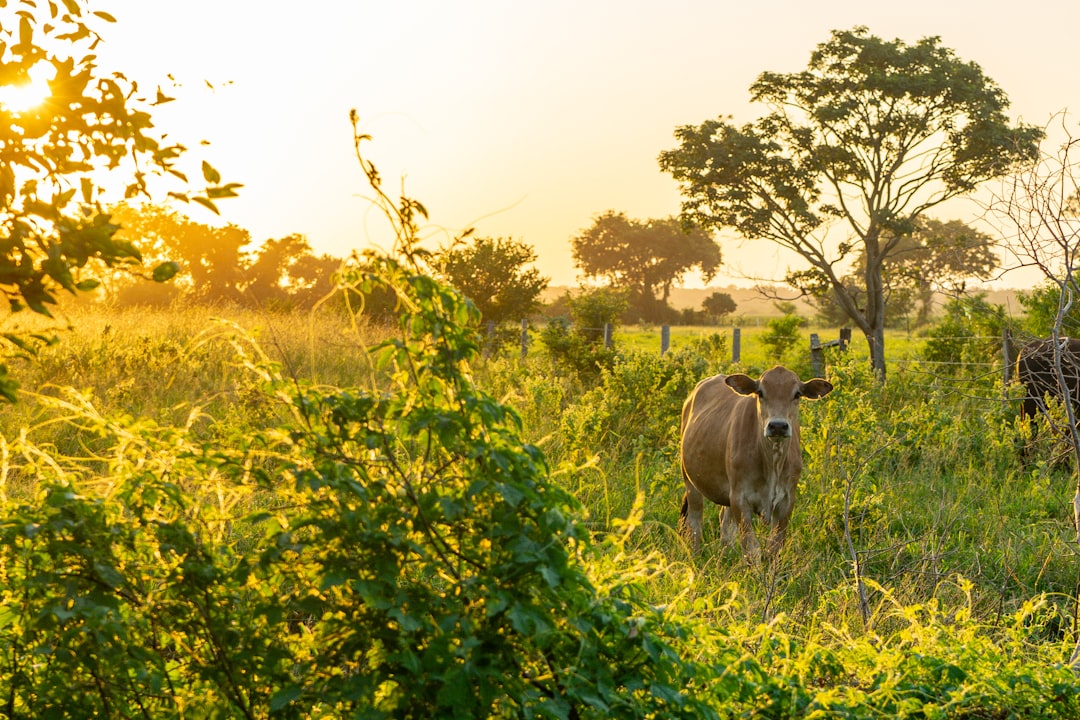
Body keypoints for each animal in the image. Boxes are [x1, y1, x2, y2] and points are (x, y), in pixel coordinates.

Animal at [673, 367, 833, 561]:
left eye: (797, 394)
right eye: (760, 392)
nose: (777, 426)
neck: (771, 464)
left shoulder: (786, 501)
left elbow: (774, 548)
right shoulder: (740, 498)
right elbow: (752, 548)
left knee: (725, 526)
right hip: (690, 481)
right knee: (695, 523)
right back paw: (696, 557)